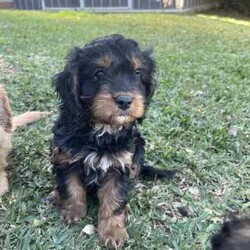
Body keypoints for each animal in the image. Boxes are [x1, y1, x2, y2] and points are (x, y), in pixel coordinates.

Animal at [51, 34, 175, 248]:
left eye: (137, 73)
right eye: (99, 73)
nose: (125, 100)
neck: (102, 130)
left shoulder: (120, 165)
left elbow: (115, 199)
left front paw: (113, 231)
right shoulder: (66, 156)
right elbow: (71, 186)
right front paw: (73, 211)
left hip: (138, 149)